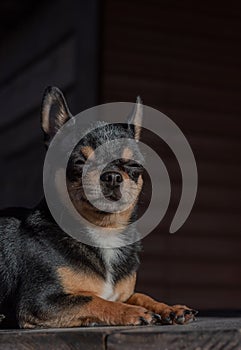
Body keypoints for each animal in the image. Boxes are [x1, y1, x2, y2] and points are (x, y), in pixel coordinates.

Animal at [0, 87, 197, 328]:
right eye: (79, 162)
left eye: (134, 165)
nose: (112, 176)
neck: (103, 231)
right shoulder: (40, 301)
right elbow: (94, 299)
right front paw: (131, 312)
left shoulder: (124, 293)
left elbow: (141, 295)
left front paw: (169, 308)